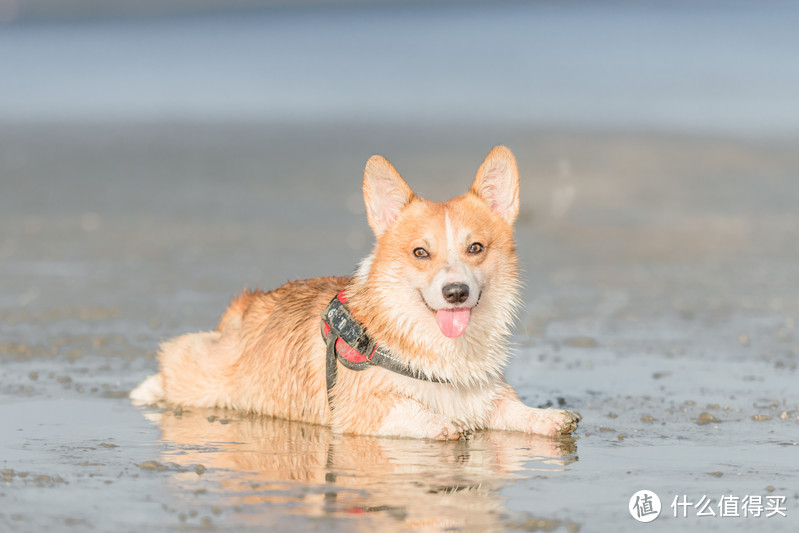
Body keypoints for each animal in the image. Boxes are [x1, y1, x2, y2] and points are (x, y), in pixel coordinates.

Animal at [131, 144, 580, 436]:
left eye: (476, 248)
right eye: (420, 252)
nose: (456, 293)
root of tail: (246, 305)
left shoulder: (485, 394)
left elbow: (513, 408)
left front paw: (549, 418)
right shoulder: (361, 408)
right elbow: (409, 410)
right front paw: (442, 423)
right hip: (205, 375)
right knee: (176, 357)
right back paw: (148, 389)